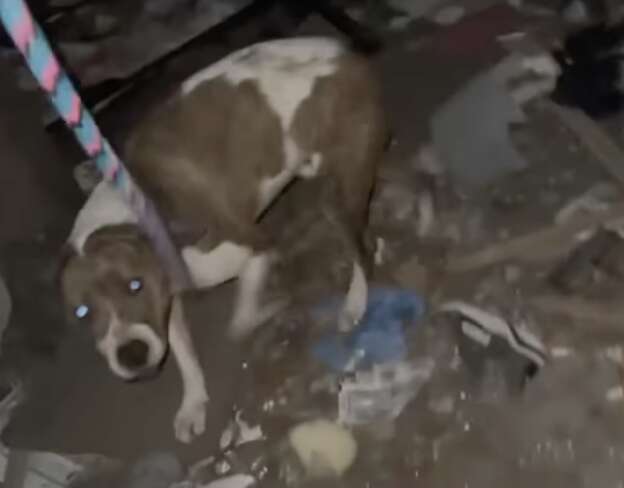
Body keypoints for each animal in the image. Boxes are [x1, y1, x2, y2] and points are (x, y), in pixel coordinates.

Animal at [61, 36, 388, 444]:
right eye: (82, 312)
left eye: (134, 285)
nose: (131, 354)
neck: (142, 213)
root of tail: (342, 50)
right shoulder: (166, 300)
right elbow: (183, 353)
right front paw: (193, 403)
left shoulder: (256, 246)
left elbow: (239, 323)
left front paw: (270, 308)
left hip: (338, 193)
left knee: (362, 249)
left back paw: (355, 300)